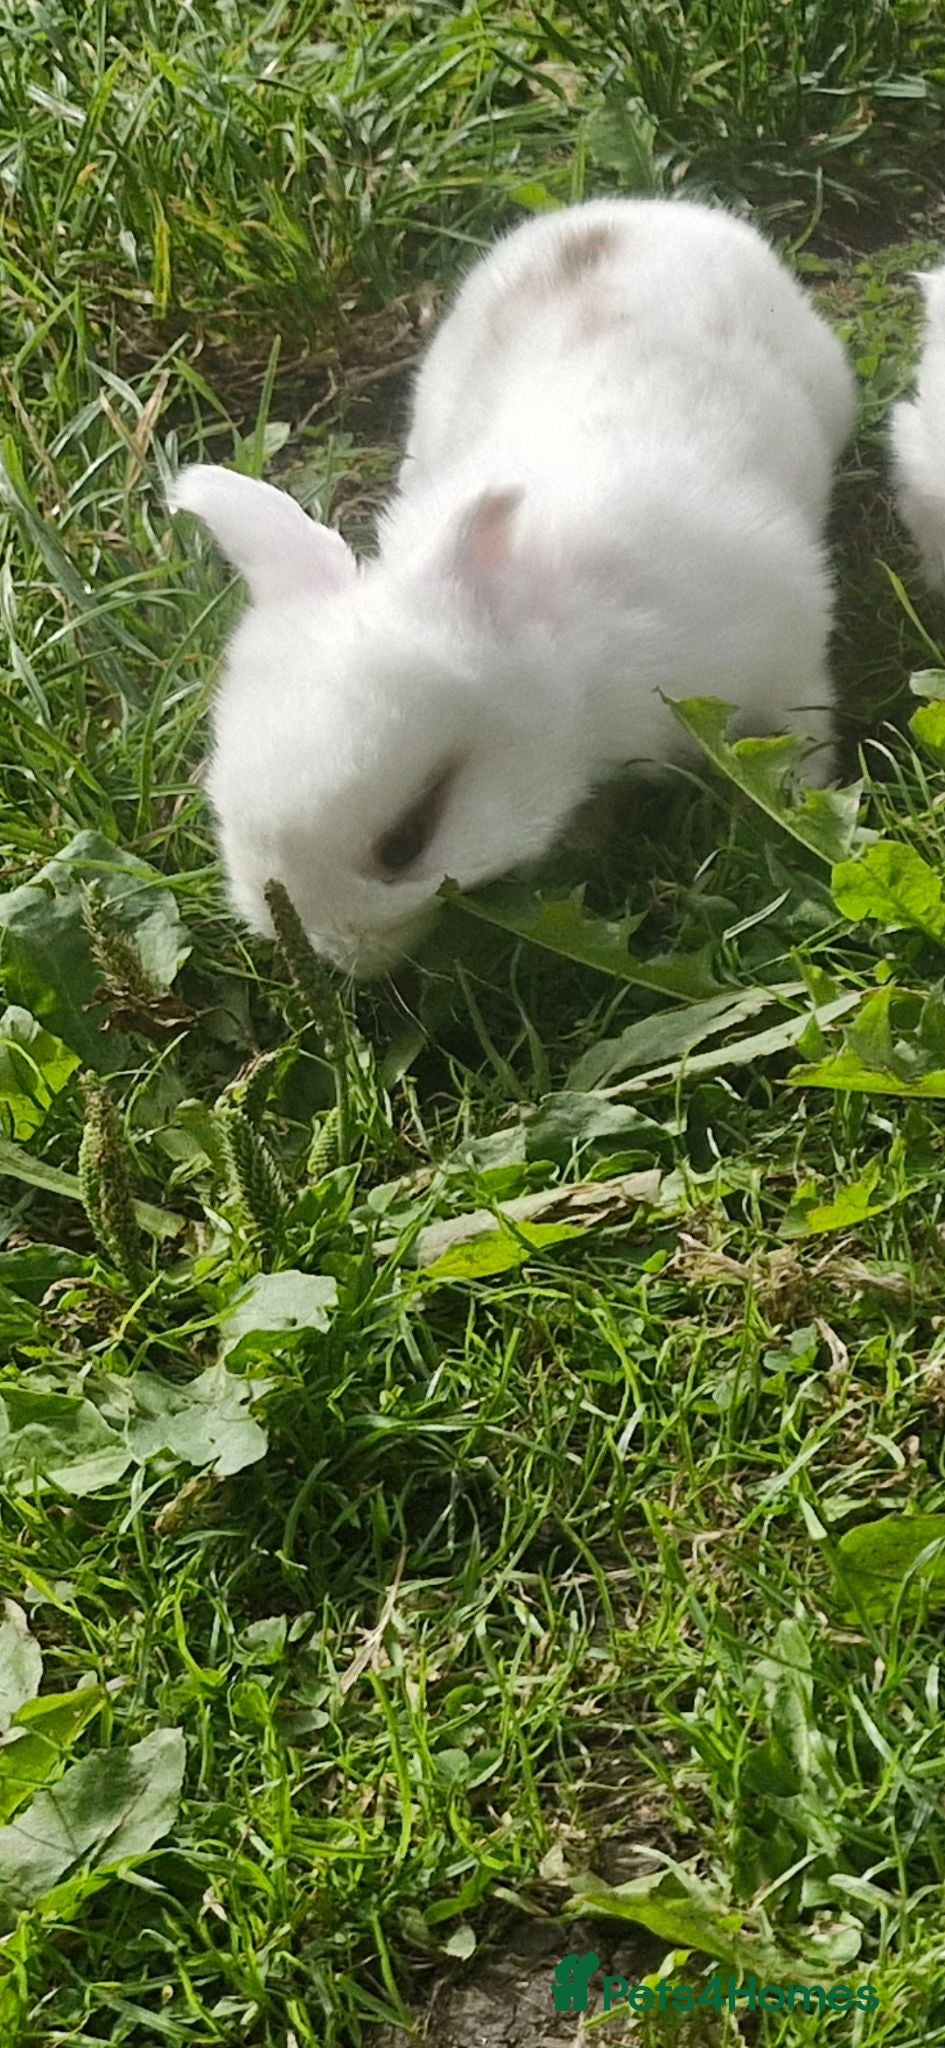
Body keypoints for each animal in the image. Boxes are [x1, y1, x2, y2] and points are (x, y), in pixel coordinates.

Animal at [169, 196, 855, 976]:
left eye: (404, 843)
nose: (328, 952)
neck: (579, 672)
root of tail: (637, 211)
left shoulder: (787, 658)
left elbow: (802, 731)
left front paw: (800, 804)